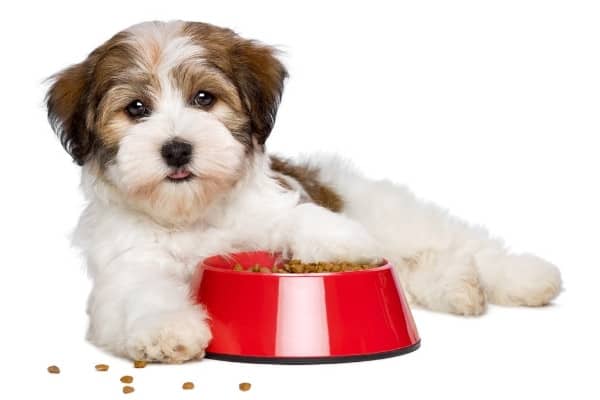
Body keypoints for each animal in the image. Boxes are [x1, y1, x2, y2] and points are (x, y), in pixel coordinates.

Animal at [45, 19, 564, 362]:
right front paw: (167, 330)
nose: (176, 149)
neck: (193, 213)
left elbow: (295, 218)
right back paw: (459, 288)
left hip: (395, 215)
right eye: (136, 108)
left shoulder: (277, 205)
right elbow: (143, 293)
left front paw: (342, 240)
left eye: (204, 99)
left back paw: (526, 277)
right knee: (432, 268)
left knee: (464, 245)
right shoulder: (126, 268)